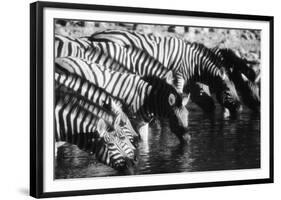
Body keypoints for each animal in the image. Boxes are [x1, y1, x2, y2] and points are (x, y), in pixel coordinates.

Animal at [54, 56, 188, 143]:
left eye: (187, 115)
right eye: (175, 118)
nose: (188, 139)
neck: (146, 98)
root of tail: (60, 58)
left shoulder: (143, 124)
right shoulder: (133, 122)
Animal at [89, 30, 241, 116]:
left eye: (235, 87)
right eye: (228, 89)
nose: (240, 109)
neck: (194, 64)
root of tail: (94, 35)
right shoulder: (178, 76)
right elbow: (175, 94)